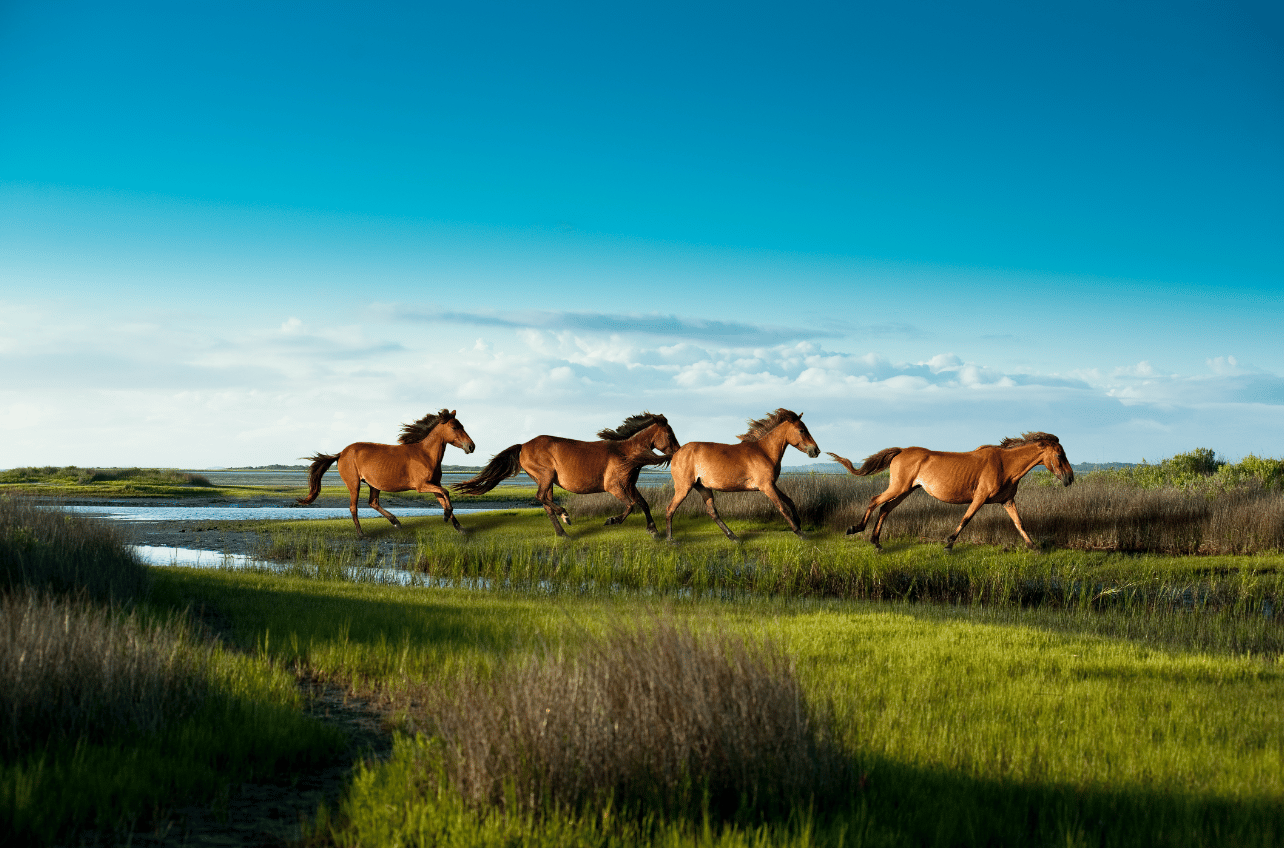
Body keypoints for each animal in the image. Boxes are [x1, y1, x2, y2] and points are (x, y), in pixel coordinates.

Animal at [299, 411, 477, 537]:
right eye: (454, 427)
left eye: (462, 425)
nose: (471, 446)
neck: (425, 455)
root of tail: (341, 453)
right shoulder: (422, 486)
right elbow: (446, 493)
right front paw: (446, 516)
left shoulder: (434, 485)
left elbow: (444, 498)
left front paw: (460, 527)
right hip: (354, 484)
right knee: (353, 507)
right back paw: (361, 533)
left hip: (374, 485)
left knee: (373, 502)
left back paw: (396, 522)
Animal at [459, 411, 688, 537]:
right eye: (669, 434)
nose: (679, 451)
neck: (625, 453)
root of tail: (523, 445)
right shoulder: (613, 486)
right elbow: (631, 505)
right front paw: (612, 520)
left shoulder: (629, 484)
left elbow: (643, 504)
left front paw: (653, 530)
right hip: (546, 476)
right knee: (541, 498)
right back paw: (565, 515)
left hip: (547, 481)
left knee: (546, 504)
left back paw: (564, 533)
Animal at [667, 411, 816, 542]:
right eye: (802, 430)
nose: (816, 450)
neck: (764, 452)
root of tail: (677, 453)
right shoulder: (766, 486)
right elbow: (782, 507)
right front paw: (800, 533)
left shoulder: (771, 484)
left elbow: (790, 501)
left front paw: (799, 523)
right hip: (684, 488)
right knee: (670, 509)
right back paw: (670, 540)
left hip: (703, 488)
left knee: (712, 512)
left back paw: (734, 537)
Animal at [826, 431, 1068, 549]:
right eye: (1059, 455)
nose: (1069, 478)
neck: (1005, 464)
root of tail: (901, 451)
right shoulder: (980, 498)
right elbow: (966, 519)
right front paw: (949, 544)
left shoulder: (1007, 501)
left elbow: (1019, 523)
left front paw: (1033, 546)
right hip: (898, 487)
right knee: (875, 500)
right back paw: (855, 529)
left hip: (906, 490)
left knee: (885, 508)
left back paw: (876, 542)